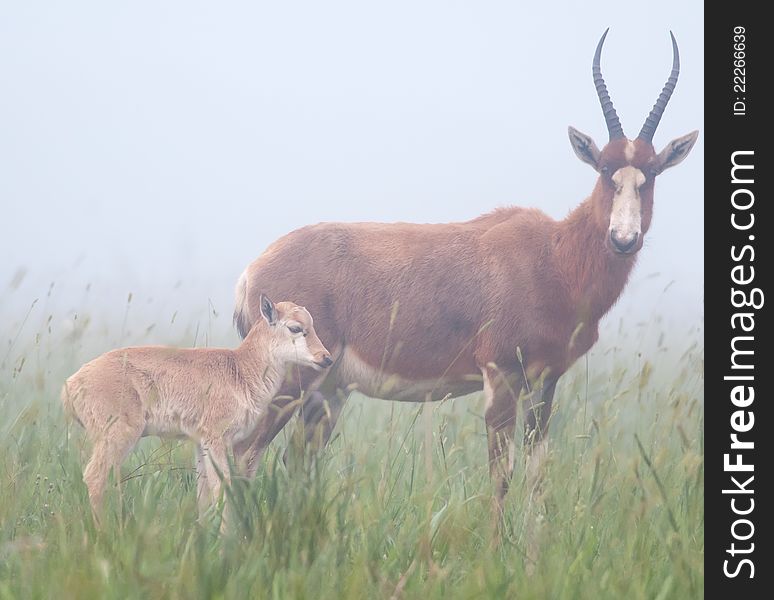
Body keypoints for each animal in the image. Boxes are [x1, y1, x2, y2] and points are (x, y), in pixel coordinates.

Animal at [233, 31, 700, 510]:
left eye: (652, 172)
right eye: (606, 168)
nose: (624, 239)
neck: (553, 256)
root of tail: (253, 271)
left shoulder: (544, 383)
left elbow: (536, 476)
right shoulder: (501, 375)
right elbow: (501, 475)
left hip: (328, 391)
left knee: (294, 463)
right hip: (290, 385)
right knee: (243, 454)